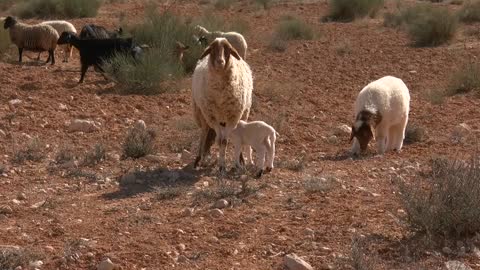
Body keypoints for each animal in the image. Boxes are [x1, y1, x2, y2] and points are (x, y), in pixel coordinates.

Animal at [191, 37, 253, 172]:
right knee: (204, 132)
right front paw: (221, 164)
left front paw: (222, 165)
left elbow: (224, 141)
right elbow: (219, 141)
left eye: (228, 49)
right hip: (202, 113)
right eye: (212, 49)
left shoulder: (232, 118)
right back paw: (198, 158)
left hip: (243, 113)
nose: (220, 62)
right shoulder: (212, 117)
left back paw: (241, 159)